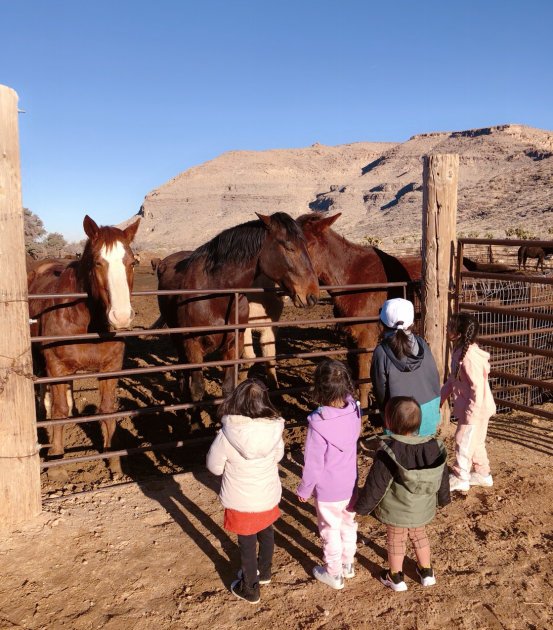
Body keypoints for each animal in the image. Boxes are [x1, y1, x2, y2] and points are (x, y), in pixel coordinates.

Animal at [27, 215, 140, 472]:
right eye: (98, 263)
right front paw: (57, 462)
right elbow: (59, 411)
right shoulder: (56, 367)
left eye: (132, 263)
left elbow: (107, 409)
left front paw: (113, 459)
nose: (121, 317)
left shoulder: (110, 368)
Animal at [157, 211, 316, 400]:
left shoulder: (233, 344)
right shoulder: (192, 344)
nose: (312, 294)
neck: (216, 292)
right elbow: (197, 390)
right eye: (290, 247)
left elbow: (228, 388)